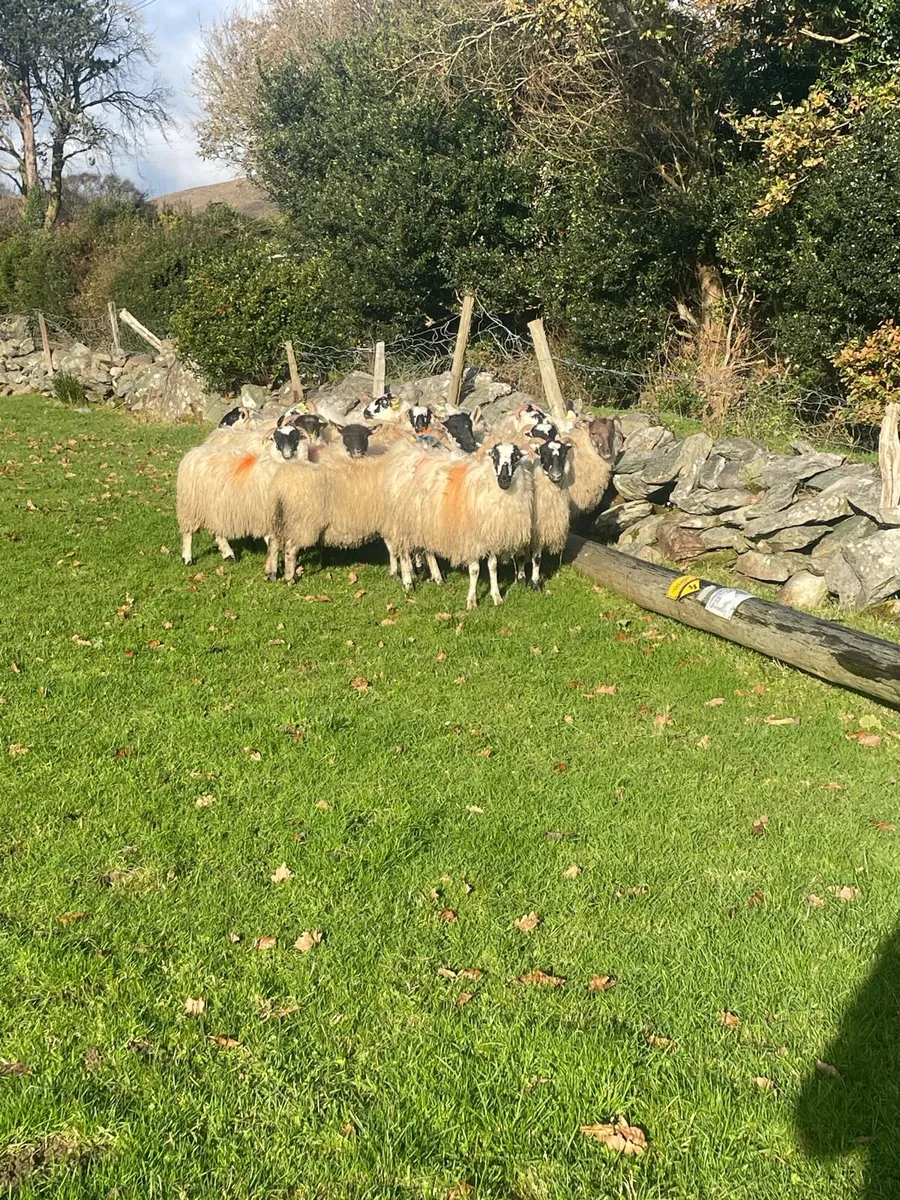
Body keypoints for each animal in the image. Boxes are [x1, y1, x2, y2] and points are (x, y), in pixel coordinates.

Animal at [177, 426, 306, 565]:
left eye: (296, 438)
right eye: (275, 438)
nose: (287, 454)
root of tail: (195, 451)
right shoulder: (263, 514)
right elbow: (270, 539)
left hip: (215, 507)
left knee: (218, 531)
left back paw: (228, 555)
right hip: (190, 507)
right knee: (188, 533)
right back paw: (187, 558)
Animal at [382, 441, 534, 608]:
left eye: (516, 457)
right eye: (494, 456)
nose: (504, 479)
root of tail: (405, 453)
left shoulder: (490, 536)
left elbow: (493, 567)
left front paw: (497, 597)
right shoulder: (471, 539)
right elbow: (474, 569)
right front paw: (472, 601)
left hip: (427, 523)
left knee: (429, 552)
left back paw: (438, 579)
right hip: (403, 523)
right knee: (403, 553)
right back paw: (408, 583)